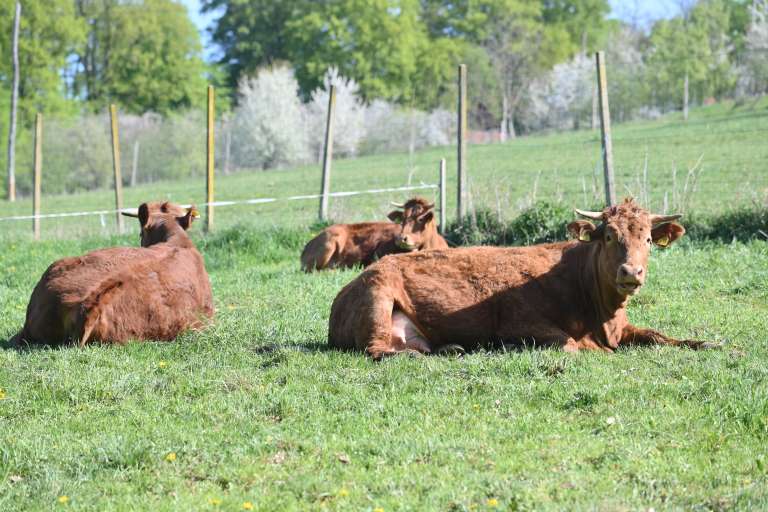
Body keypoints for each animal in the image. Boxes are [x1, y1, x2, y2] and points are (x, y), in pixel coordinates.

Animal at [328, 198, 716, 358]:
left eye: (648, 239)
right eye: (608, 236)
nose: (631, 272)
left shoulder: (623, 327)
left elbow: (660, 336)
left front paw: (706, 343)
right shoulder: (520, 321)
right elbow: (572, 345)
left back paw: (451, 349)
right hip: (379, 297)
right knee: (380, 350)